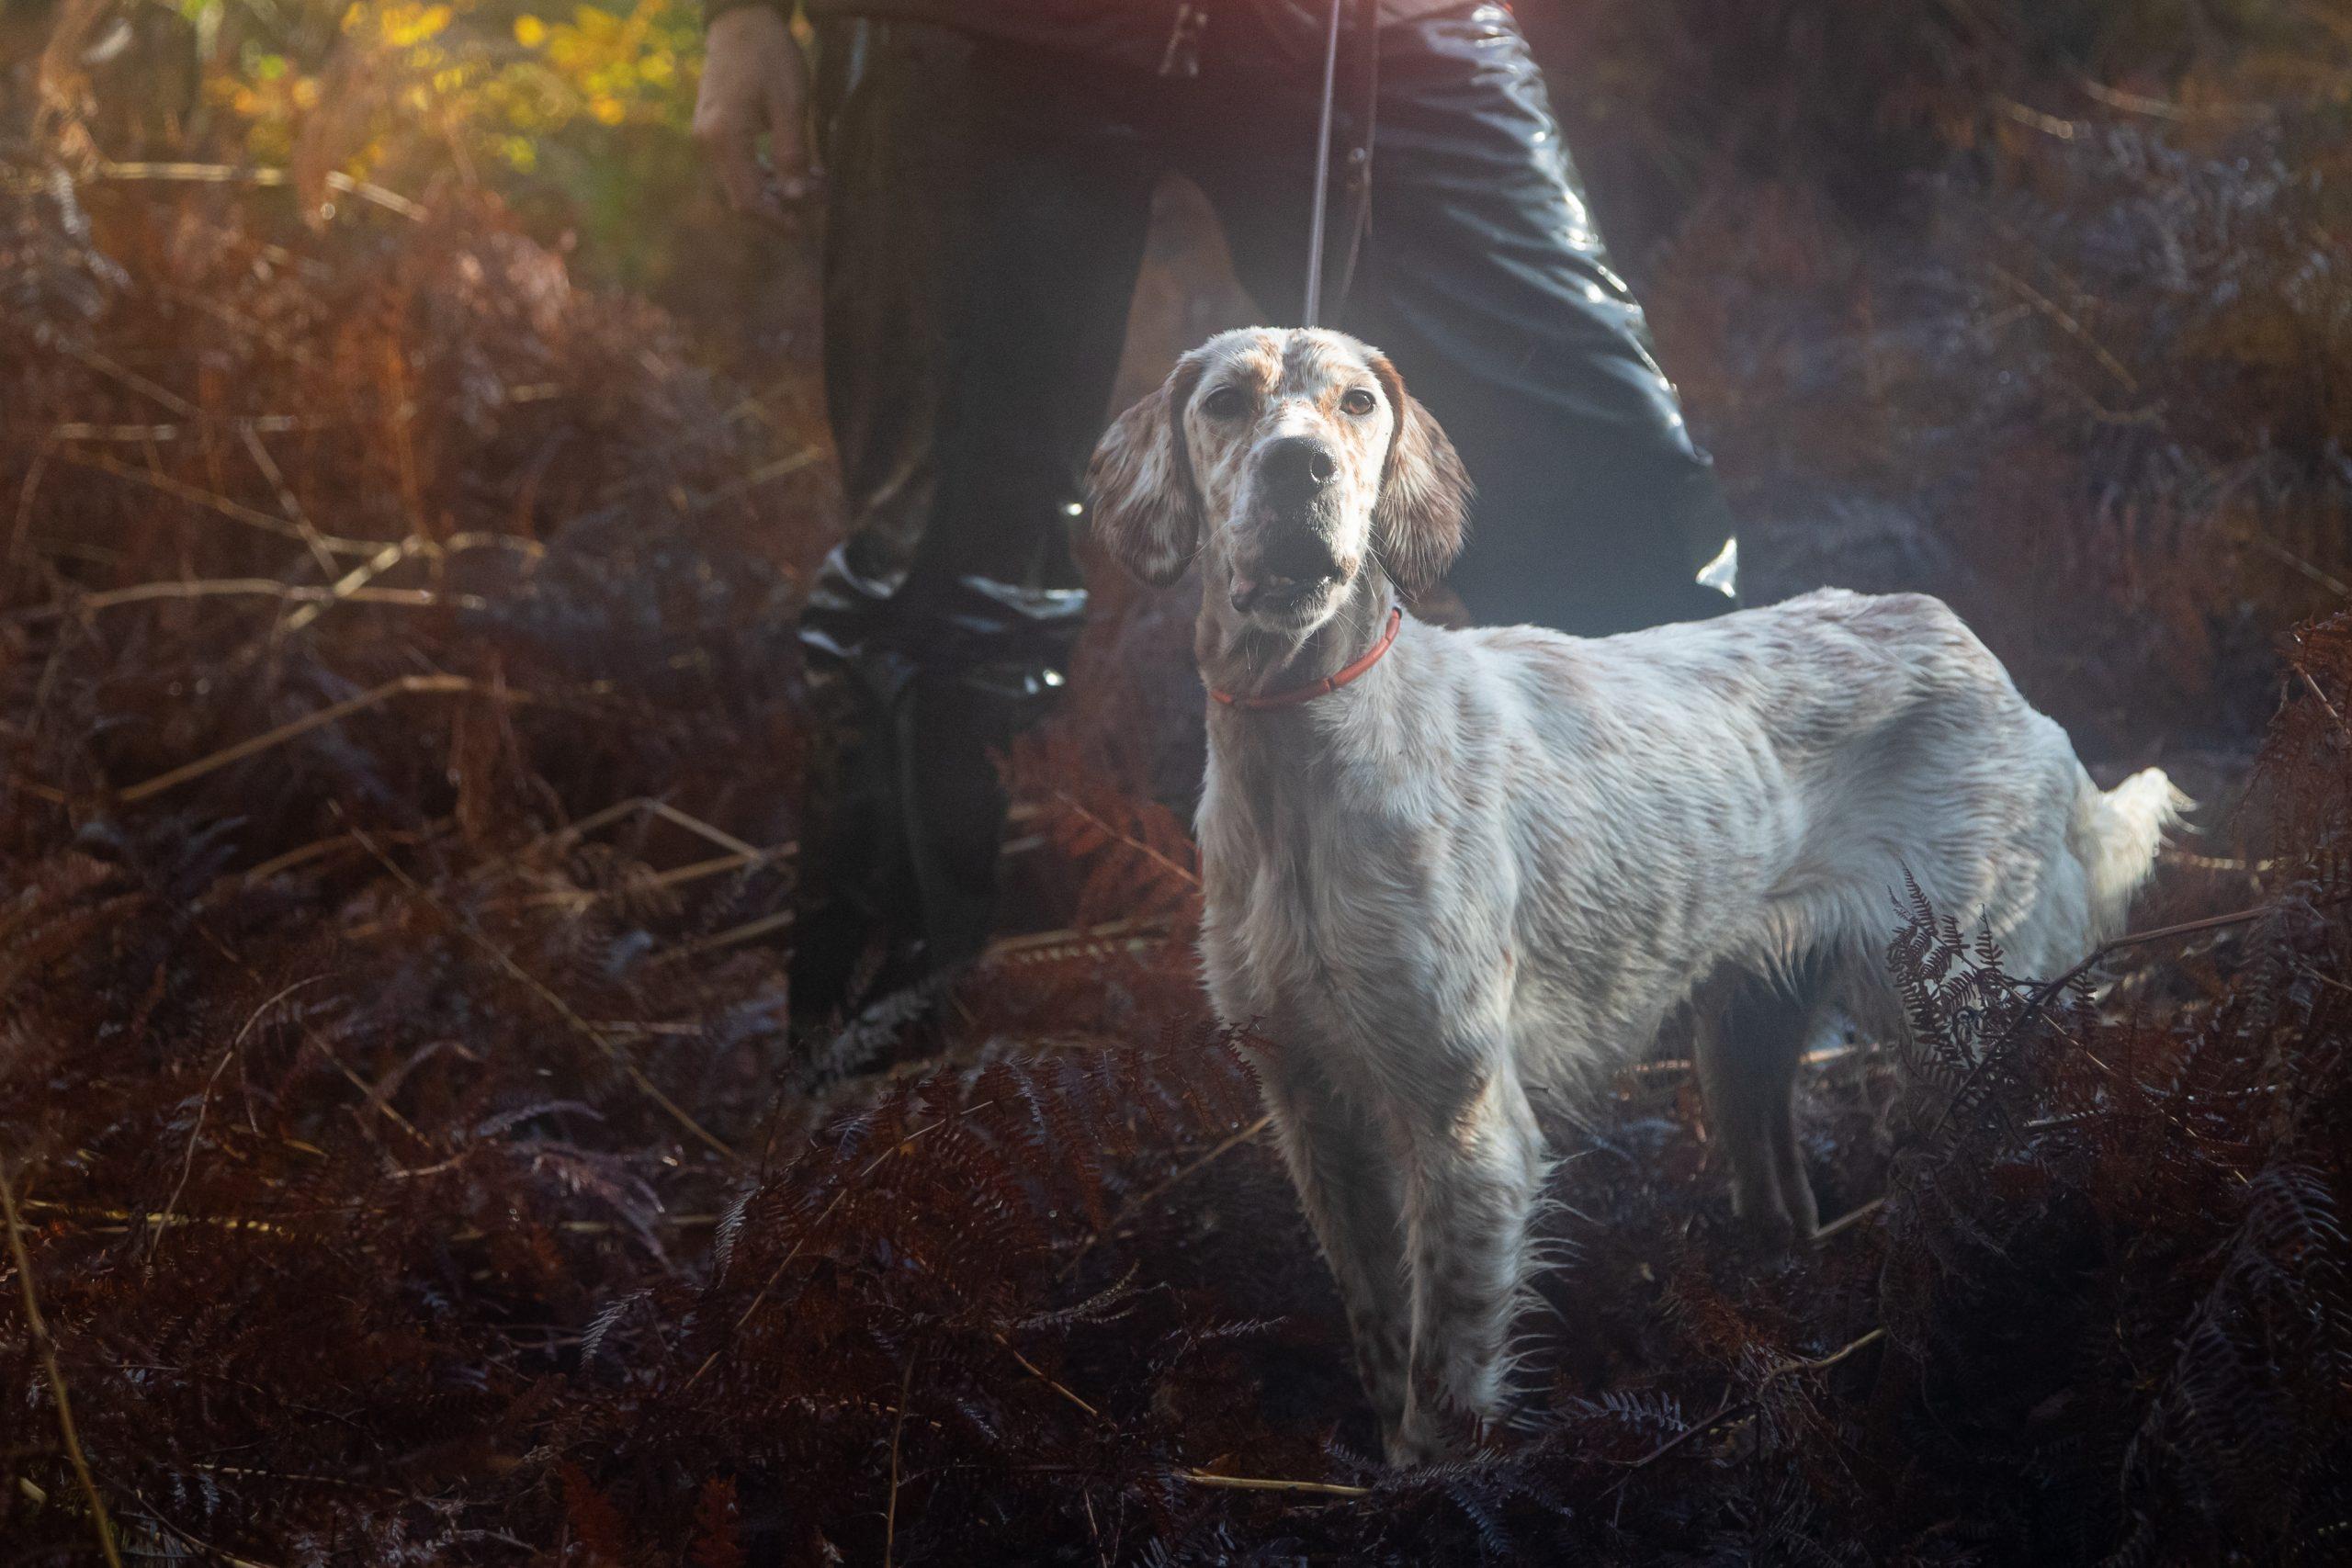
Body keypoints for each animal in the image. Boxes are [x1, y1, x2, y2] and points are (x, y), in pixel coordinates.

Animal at [1081, 324, 2182, 1466]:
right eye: (1224, 403)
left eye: (1354, 403)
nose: (1300, 466)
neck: (1305, 743)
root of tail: (1990, 665)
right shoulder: (1309, 1109)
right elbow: (1384, 1341)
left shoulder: (1464, 1122)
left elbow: (1446, 1385)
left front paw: (1435, 1479)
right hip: (1745, 1039)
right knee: (1781, 1197)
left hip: (1970, 1016)